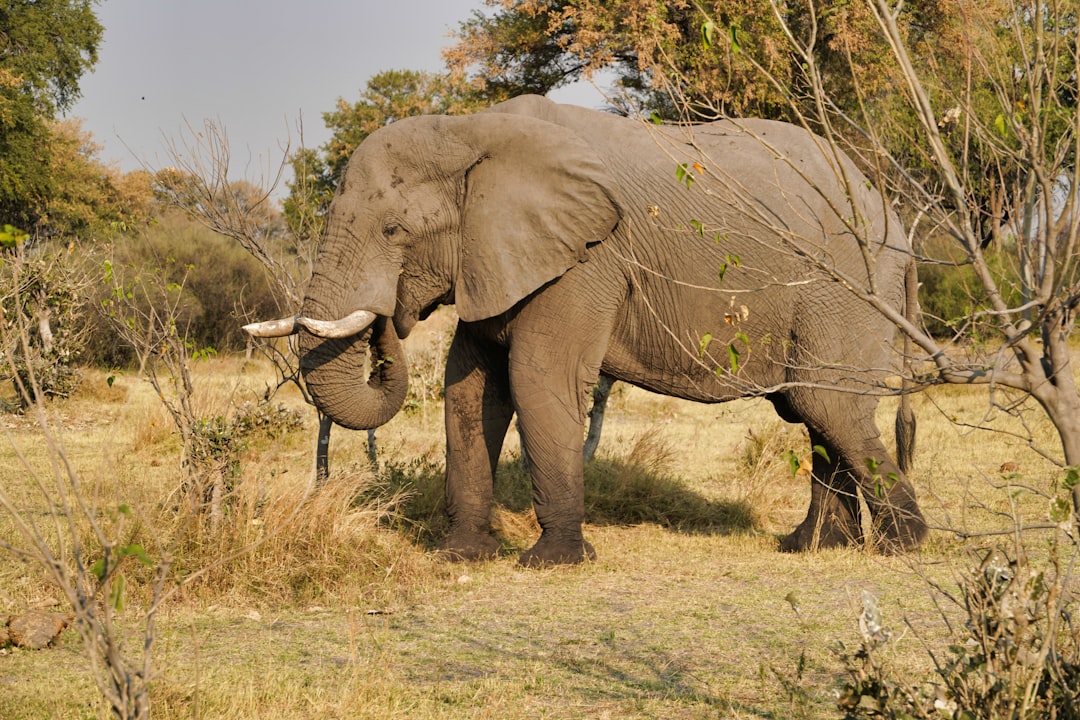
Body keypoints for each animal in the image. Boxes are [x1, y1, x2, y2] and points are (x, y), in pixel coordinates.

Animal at [245, 92, 928, 565]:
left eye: (394, 231)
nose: (391, 317)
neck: (472, 130)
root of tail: (892, 213)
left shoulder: (585, 261)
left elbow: (536, 379)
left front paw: (551, 563)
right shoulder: (497, 254)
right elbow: (470, 392)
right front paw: (462, 556)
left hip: (846, 288)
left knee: (825, 403)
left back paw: (903, 546)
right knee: (816, 410)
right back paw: (811, 547)